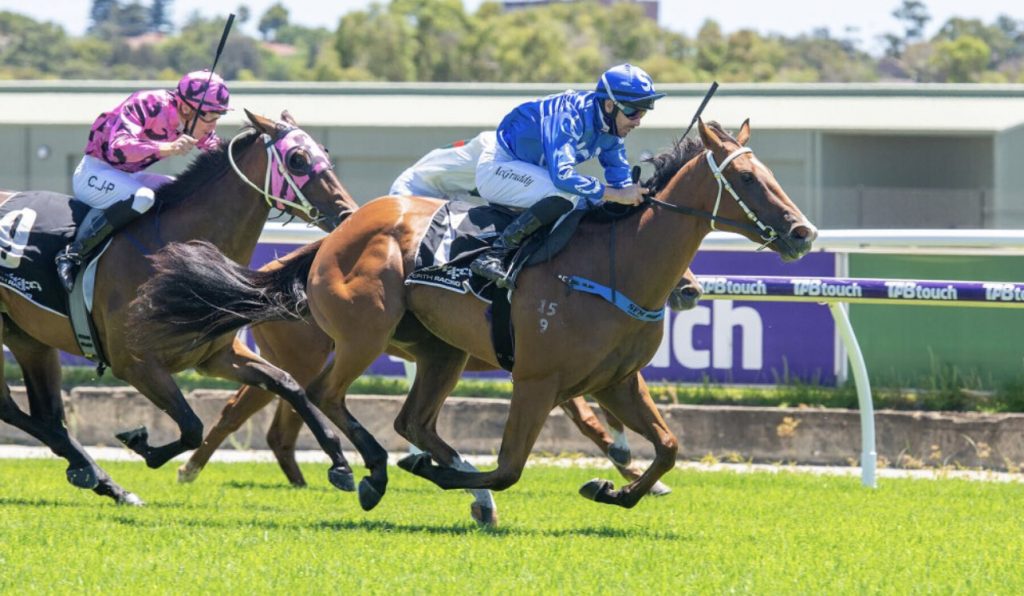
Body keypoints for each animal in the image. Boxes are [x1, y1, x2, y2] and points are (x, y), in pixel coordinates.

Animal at [0, 109, 360, 507]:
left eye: (324, 152)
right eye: (297, 159)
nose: (348, 213)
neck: (174, 260)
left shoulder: (216, 357)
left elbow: (288, 384)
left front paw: (341, 464)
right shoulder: (136, 364)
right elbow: (191, 427)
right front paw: (141, 443)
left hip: (28, 338)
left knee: (42, 414)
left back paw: (102, 480)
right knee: (14, 409)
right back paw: (94, 474)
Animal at [130, 119, 815, 516]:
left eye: (769, 173)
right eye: (748, 179)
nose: (803, 233)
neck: (616, 263)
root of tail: (332, 237)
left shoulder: (618, 381)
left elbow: (670, 448)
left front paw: (614, 489)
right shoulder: (537, 380)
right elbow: (511, 468)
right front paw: (450, 478)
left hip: (442, 350)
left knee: (406, 418)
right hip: (359, 334)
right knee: (322, 395)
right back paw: (367, 472)